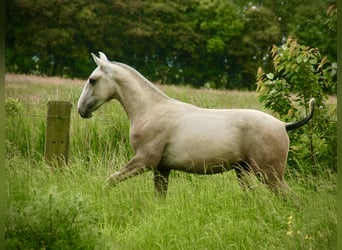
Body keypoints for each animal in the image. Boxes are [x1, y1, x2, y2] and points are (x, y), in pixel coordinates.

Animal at [78, 52, 316, 197]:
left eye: (92, 80)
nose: (81, 110)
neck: (150, 110)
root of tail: (283, 125)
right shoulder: (162, 169)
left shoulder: (144, 161)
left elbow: (110, 180)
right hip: (244, 172)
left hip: (270, 175)